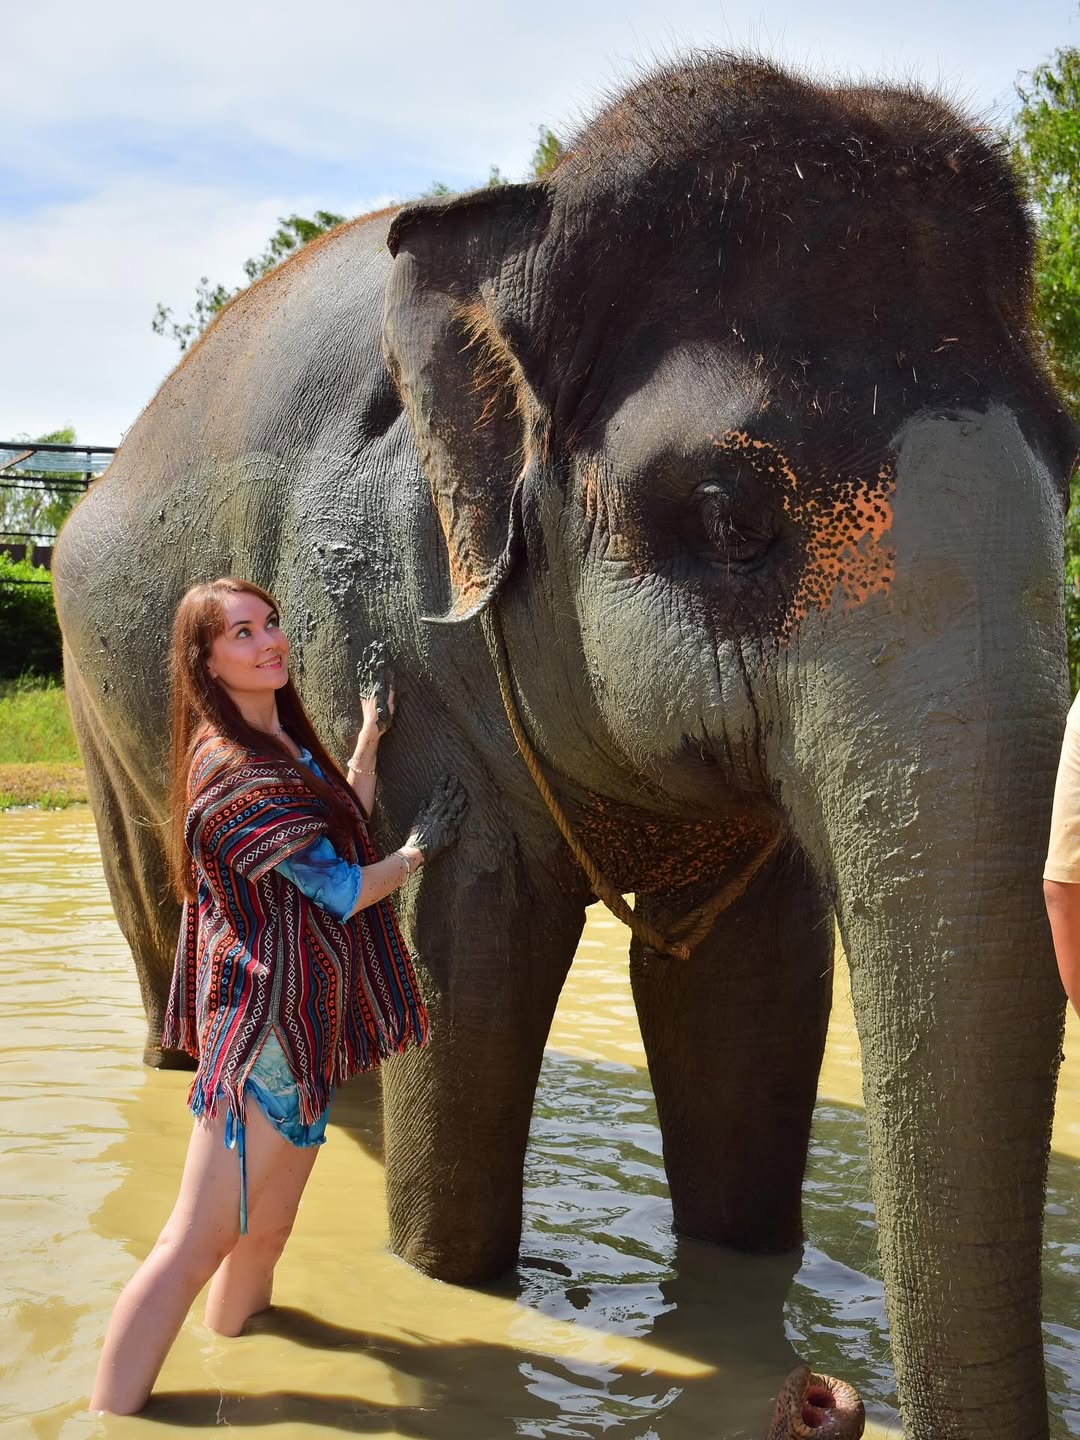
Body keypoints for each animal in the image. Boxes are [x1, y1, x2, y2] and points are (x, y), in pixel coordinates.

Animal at [54, 52, 1079, 1440]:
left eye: (1068, 471)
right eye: (728, 513)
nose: (823, 1397)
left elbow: (754, 981)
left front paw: (744, 1277)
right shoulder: (378, 624)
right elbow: (462, 950)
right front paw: (450, 1276)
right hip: (93, 693)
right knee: (166, 908)